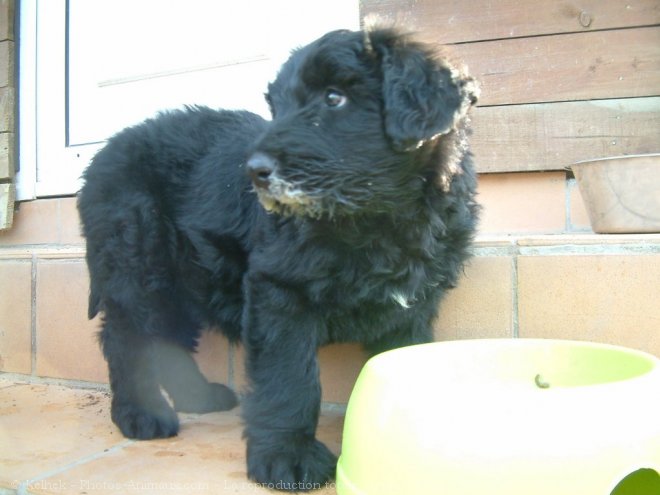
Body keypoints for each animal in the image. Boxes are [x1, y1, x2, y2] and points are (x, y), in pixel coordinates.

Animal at [77, 28, 480, 492]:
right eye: (277, 107)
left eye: (334, 98)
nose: (254, 171)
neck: (377, 218)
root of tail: (100, 157)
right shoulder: (279, 292)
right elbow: (290, 379)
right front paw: (287, 457)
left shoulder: (412, 307)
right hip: (138, 266)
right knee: (127, 339)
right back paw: (140, 415)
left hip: (184, 279)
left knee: (170, 339)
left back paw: (199, 398)